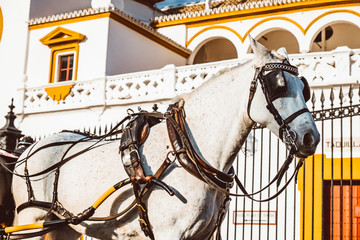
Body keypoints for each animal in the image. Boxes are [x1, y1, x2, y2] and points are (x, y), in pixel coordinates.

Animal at [10, 38, 318, 239]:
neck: (185, 151)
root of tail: (30, 147)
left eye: (304, 87)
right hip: (30, 220)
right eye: (278, 85)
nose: (310, 138)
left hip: (65, 224)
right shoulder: (169, 233)